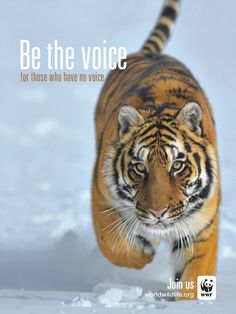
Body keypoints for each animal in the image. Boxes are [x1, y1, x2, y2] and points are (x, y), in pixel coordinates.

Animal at [91, 0, 220, 300]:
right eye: (140, 167)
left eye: (177, 165)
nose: (158, 213)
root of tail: (147, 53)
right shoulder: (100, 194)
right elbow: (113, 244)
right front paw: (143, 253)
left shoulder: (202, 226)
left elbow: (195, 276)